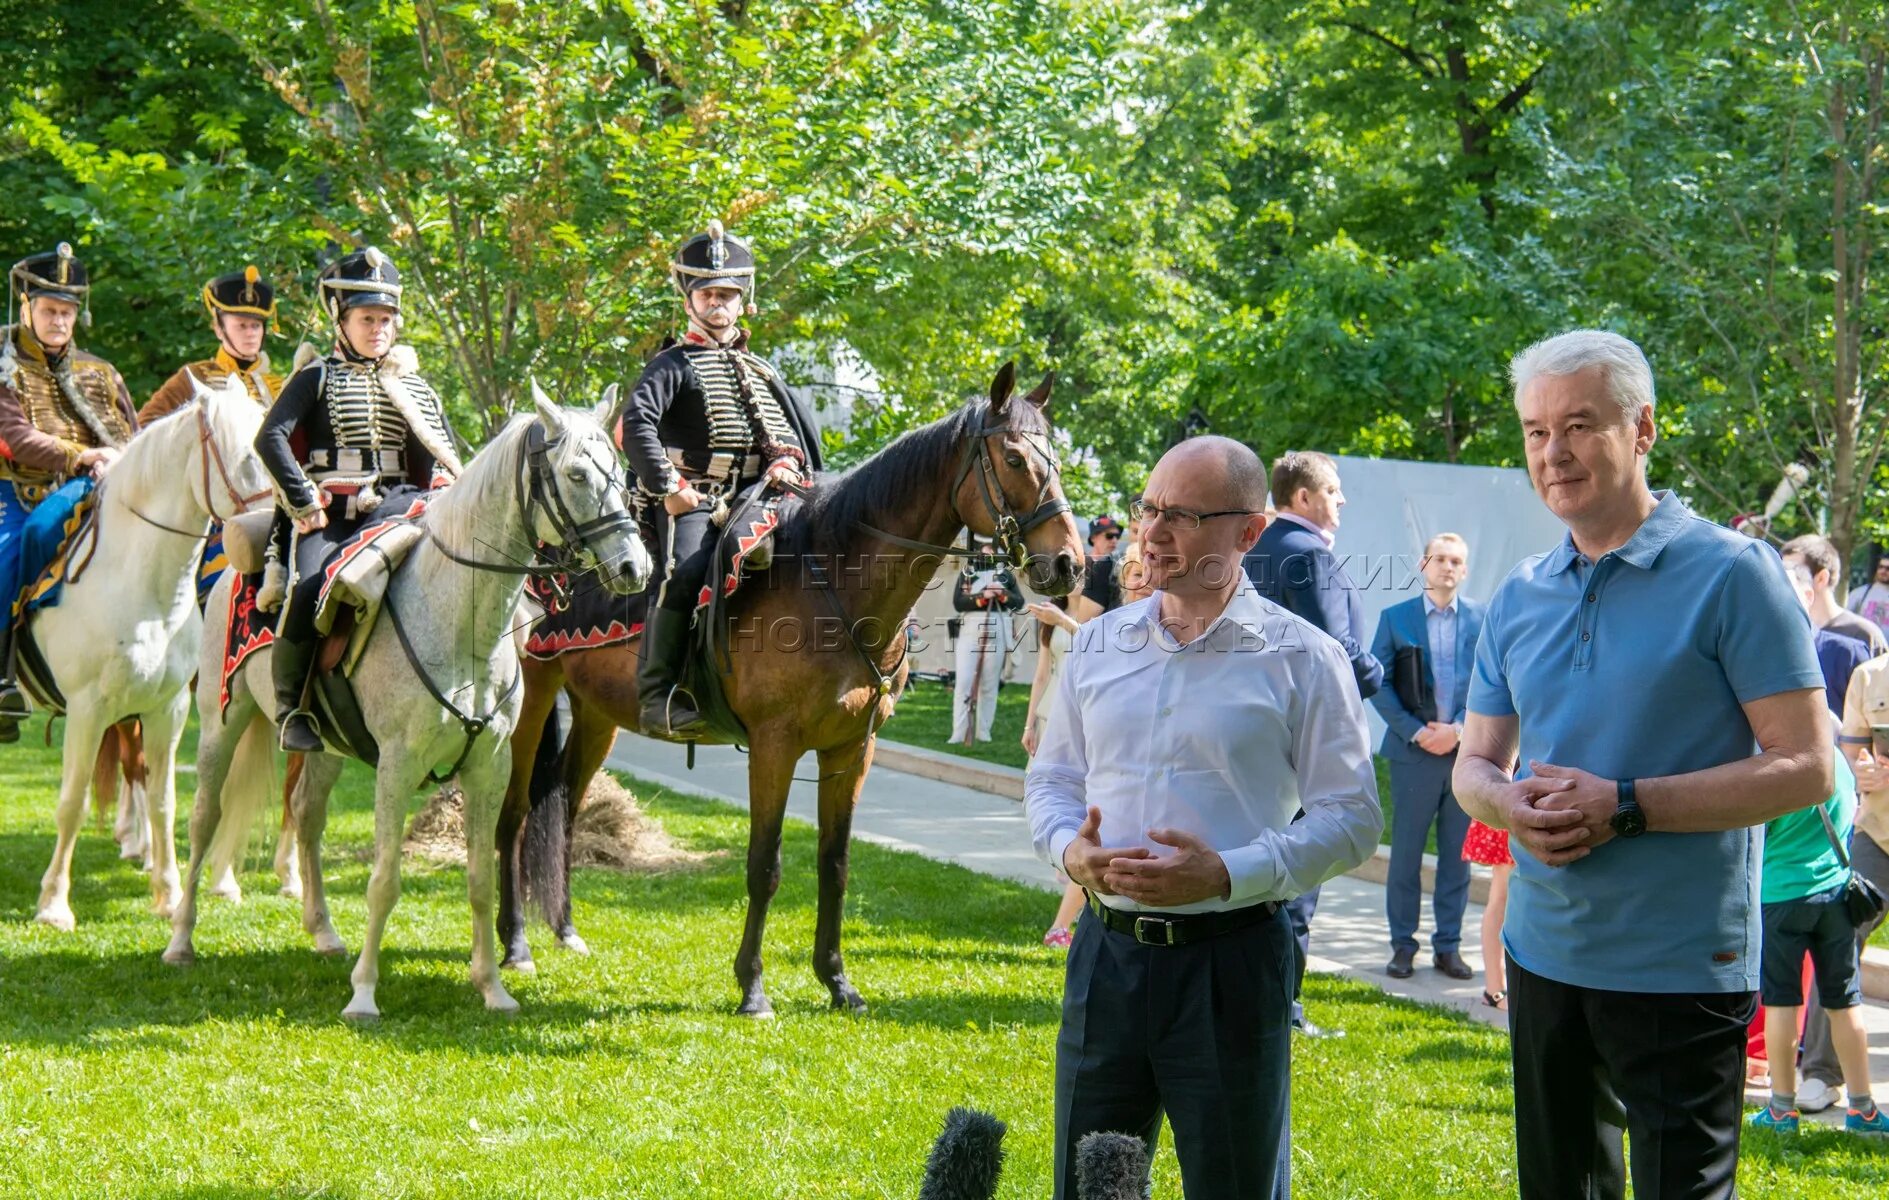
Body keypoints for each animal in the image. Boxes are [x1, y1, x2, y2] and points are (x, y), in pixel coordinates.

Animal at [26, 370, 273, 933]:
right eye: (249, 455)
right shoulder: (87, 709)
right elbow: (72, 803)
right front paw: (53, 904)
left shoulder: (167, 708)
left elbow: (163, 799)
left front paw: (168, 893)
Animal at [166, 389, 649, 1020]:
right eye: (575, 474)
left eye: (619, 470)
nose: (635, 567)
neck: (459, 617)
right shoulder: (396, 766)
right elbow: (385, 880)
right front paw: (364, 993)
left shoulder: (490, 765)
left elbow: (479, 877)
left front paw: (492, 987)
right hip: (221, 722)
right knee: (204, 819)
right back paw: (180, 939)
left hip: (325, 745)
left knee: (307, 815)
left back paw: (324, 932)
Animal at [494, 364, 1088, 1012]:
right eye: (1013, 457)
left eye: (1056, 458)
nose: (1068, 565)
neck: (835, 583)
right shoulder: (774, 746)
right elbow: (765, 864)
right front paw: (753, 987)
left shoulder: (852, 748)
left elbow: (835, 862)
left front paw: (837, 981)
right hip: (531, 700)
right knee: (514, 814)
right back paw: (516, 946)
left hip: (598, 714)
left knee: (565, 810)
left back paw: (565, 932)